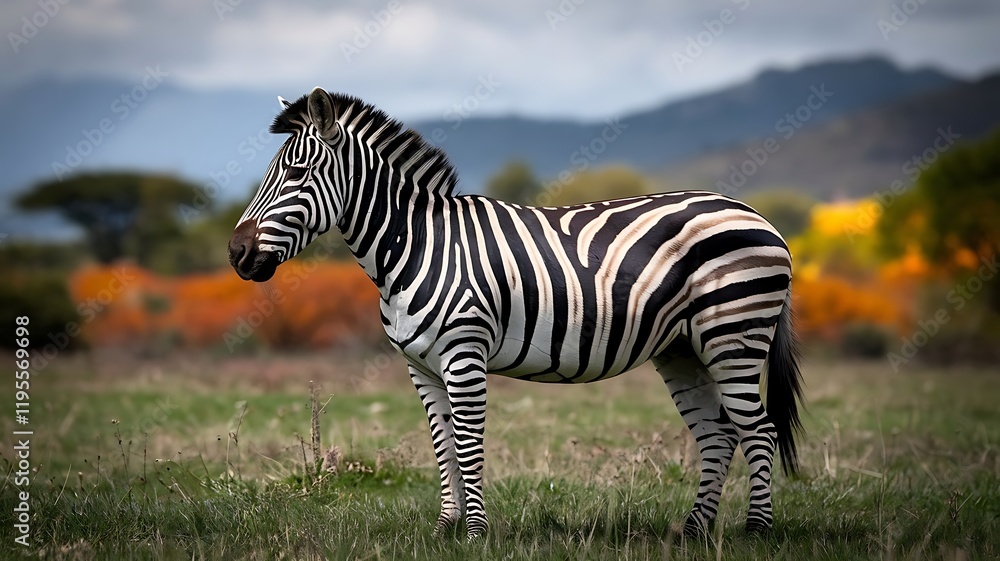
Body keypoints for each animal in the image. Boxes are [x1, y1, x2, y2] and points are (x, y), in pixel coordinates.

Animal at [228, 87, 805, 540]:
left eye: (296, 172)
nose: (236, 254)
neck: (413, 246)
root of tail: (756, 214)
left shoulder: (464, 355)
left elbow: (468, 444)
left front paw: (476, 534)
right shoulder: (421, 367)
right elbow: (442, 446)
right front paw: (444, 529)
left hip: (733, 335)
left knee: (759, 431)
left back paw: (755, 532)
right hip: (682, 348)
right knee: (718, 434)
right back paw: (693, 532)